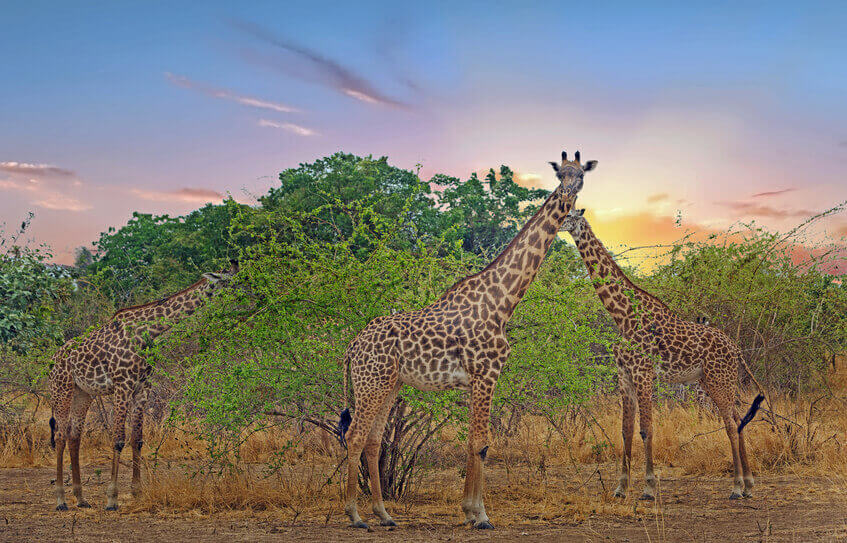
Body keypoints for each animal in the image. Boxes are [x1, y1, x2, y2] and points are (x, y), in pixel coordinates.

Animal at [48, 261, 238, 511]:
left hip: (83, 393)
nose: (250, 291)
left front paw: (137, 492)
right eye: (233, 280)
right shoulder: (122, 385)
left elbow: (136, 439)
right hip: (62, 388)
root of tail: (53, 360)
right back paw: (61, 500)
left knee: (74, 436)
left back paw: (81, 499)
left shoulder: (142, 387)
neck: (149, 332)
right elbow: (118, 440)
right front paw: (112, 499)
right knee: (60, 435)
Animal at [338, 151, 597, 530]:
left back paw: (384, 514)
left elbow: (477, 443)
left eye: (580, 176)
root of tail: (352, 347)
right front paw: (481, 515)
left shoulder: (478, 378)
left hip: (389, 383)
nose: (566, 195)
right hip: (371, 382)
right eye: (560, 174)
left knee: (372, 440)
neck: (502, 301)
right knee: (354, 435)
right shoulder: (486, 373)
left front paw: (470, 511)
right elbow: (481, 442)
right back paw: (355, 515)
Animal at [558, 208, 764, 500]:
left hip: (719, 379)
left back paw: (736, 487)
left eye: (568, 214)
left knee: (730, 424)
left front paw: (648, 487)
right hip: (713, 380)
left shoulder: (643, 372)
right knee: (738, 420)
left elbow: (646, 429)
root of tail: (736, 349)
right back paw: (748, 485)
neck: (622, 317)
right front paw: (621, 488)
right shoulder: (624, 374)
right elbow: (625, 430)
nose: (556, 223)